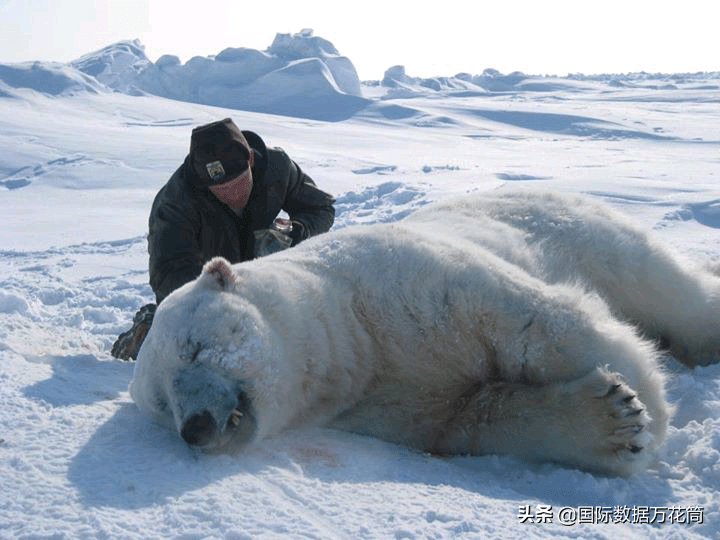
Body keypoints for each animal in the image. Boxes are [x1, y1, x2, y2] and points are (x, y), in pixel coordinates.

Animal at [129, 191, 720, 476]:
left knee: (668, 290)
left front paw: (648, 403)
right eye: (162, 404)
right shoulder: (381, 404)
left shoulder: (409, 283)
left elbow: (536, 322)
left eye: (194, 348)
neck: (352, 334)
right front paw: (614, 423)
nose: (196, 427)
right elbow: (470, 419)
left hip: (586, 233)